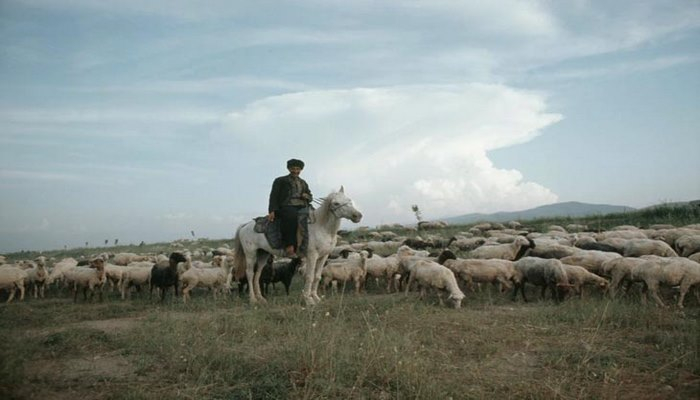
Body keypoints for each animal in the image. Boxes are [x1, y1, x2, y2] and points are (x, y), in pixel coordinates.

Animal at [234, 186, 364, 304]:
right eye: (336, 203)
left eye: (349, 200)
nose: (357, 216)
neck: (322, 227)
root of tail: (245, 226)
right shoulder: (312, 255)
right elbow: (310, 276)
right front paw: (308, 300)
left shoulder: (324, 256)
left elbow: (317, 276)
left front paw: (316, 297)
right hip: (250, 254)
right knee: (250, 273)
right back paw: (252, 299)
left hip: (263, 254)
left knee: (257, 274)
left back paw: (261, 298)